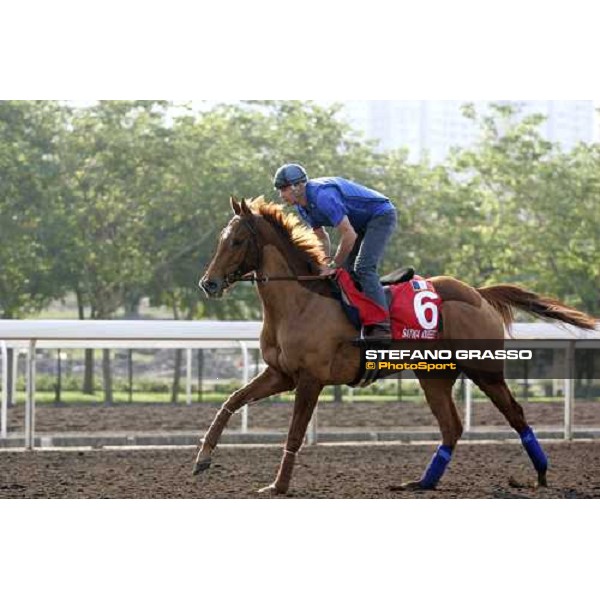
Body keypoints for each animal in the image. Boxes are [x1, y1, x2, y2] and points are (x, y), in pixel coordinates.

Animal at [196, 197, 596, 492]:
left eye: (237, 241)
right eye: (219, 239)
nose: (208, 283)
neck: (301, 300)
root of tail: (478, 294)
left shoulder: (310, 379)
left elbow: (295, 432)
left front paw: (278, 485)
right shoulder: (281, 374)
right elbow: (230, 402)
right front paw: (202, 458)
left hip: (485, 370)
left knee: (515, 415)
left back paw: (541, 474)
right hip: (434, 375)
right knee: (452, 427)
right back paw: (422, 482)